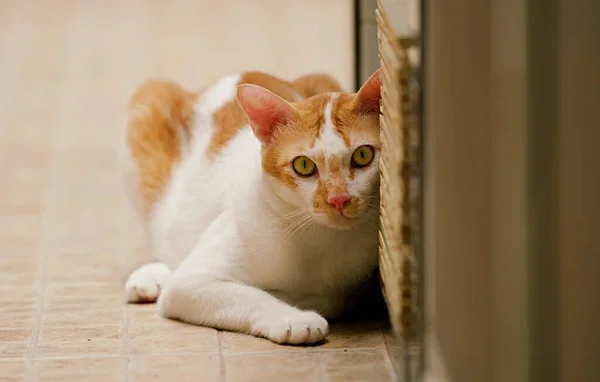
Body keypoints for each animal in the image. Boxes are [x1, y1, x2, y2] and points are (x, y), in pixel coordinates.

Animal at [124, 69, 382, 346]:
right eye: (303, 165)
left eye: (363, 155)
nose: (338, 198)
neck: (323, 240)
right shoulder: (190, 282)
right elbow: (250, 295)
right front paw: (293, 317)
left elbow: (336, 298)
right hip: (147, 105)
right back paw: (151, 276)